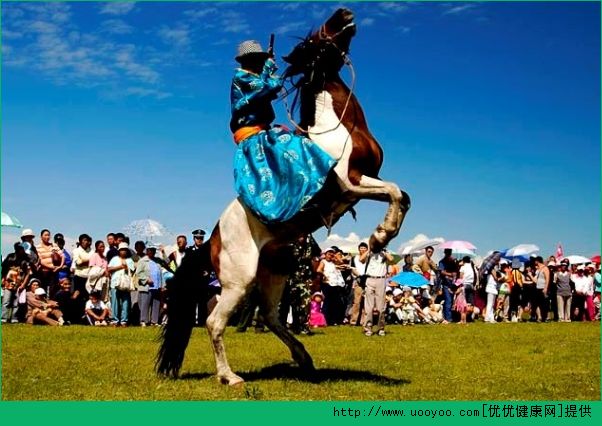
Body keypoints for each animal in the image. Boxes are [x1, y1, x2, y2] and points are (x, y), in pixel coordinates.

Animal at [155, 7, 410, 386]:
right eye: (314, 38)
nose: (344, 12)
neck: (337, 127)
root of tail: (212, 239)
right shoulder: (350, 184)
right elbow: (396, 193)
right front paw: (380, 237)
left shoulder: (365, 183)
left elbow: (402, 195)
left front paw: (382, 236)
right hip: (238, 280)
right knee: (216, 322)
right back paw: (229, 376)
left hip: (274, 273)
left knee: (271, 316)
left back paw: (304, 358)